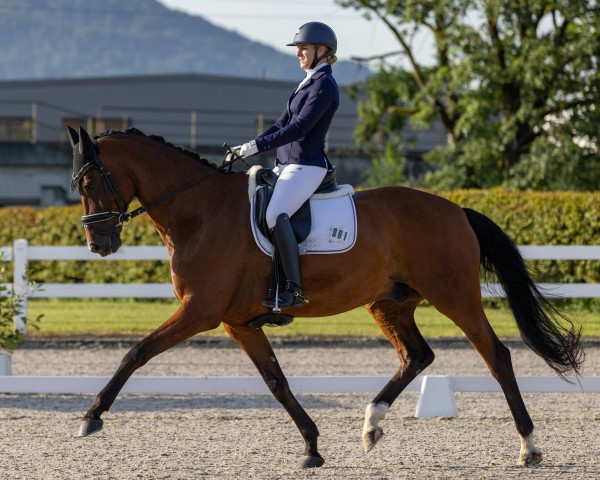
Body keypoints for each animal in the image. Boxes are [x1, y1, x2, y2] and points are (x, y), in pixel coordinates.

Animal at [65, 124, 580, 468]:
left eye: (87, 182)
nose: (98, 245)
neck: (198, 211)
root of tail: (456, 209)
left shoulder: (201, 311)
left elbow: (136, 353)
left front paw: (91, 417)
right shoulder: (237, 322)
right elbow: (276, 381)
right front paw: (312, 447)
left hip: (456, 297)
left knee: (496, 356)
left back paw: (529, 447)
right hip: (389, 303)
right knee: (417, 356)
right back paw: (371, 425)